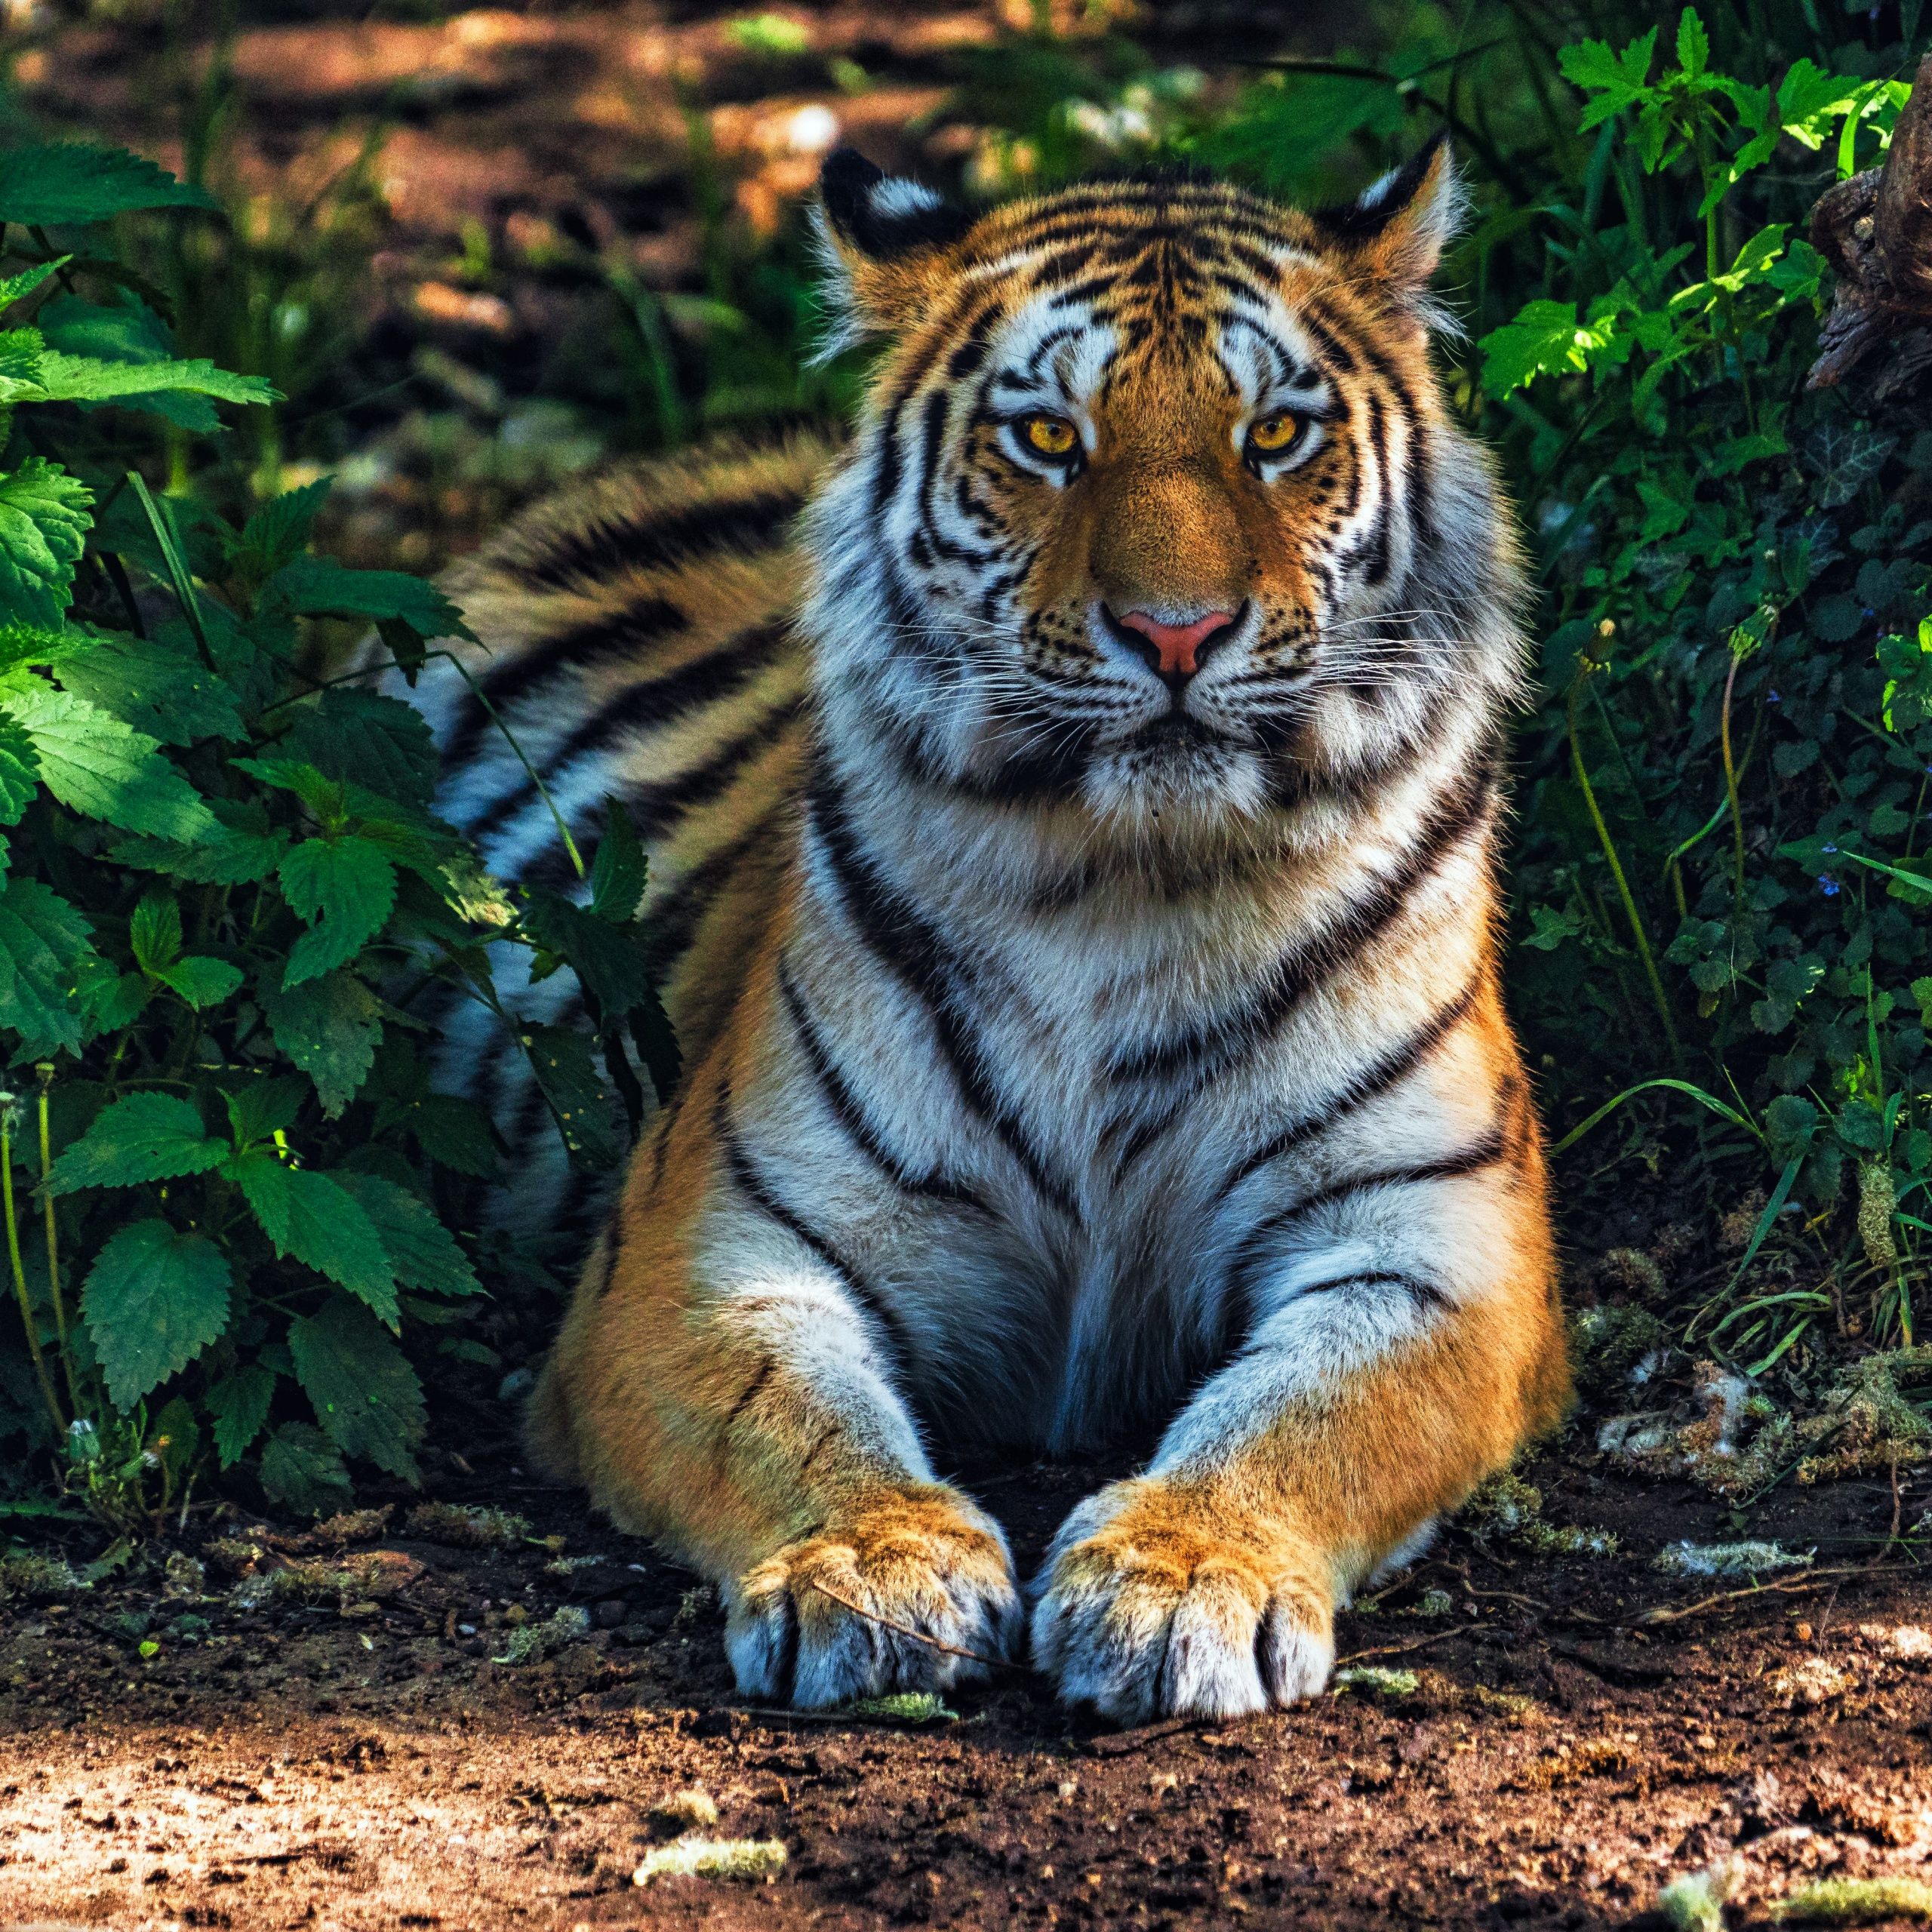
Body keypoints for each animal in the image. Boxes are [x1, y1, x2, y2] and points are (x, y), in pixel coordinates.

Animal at [395, 137, 1570, 1723]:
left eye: (1275, 434)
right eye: (1048, 440)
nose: (1178, 632)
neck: (1133, 889)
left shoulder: (1434, 1238)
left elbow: (1312, 1415)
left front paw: (1183, 1578)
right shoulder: (711, 1241)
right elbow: (790, 1416)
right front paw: (874, 1568)